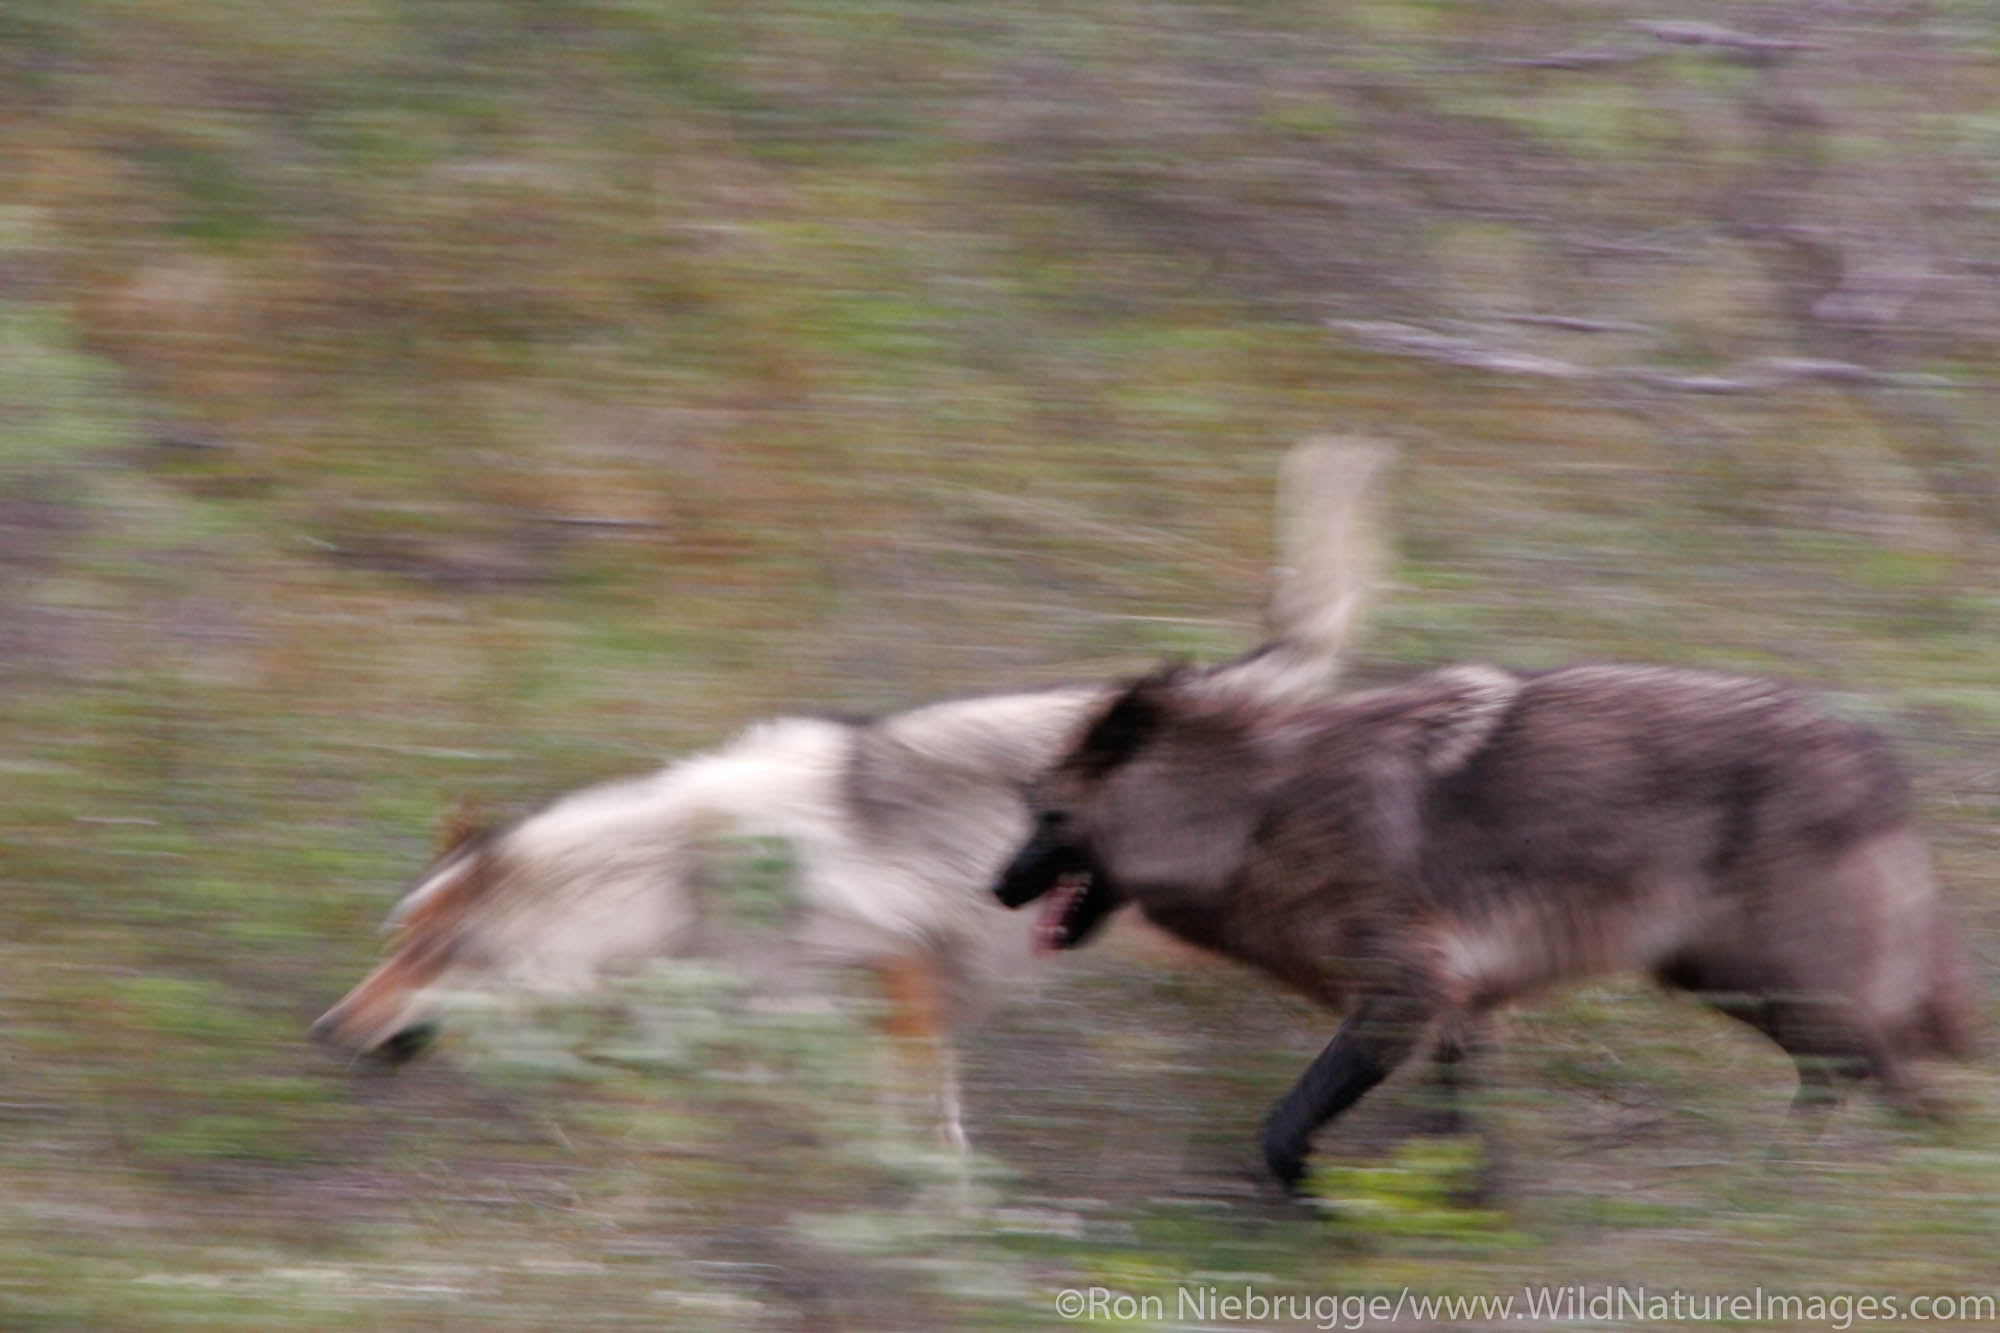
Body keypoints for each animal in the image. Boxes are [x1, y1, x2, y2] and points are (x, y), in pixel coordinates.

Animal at [308, 436, 1392, 1144]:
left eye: (424, 955)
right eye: (390, 947)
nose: (323, 1030)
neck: (670, 882)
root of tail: (1249, 677)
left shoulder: (901, 977)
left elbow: (927, 1143)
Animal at [1000, 652, 1984, 1184]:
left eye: (1046, 816)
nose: (998, 889)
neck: (1255, 813)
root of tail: (1878, 763)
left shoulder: (1406, 996)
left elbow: (1281, 1131)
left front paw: (1321, 1209)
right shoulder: (1459, 1009)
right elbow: (1467, 1145)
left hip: (1771, 985)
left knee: (1889, 1076)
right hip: (1720, 981)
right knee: (1856, 1074)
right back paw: (1786, 1184)